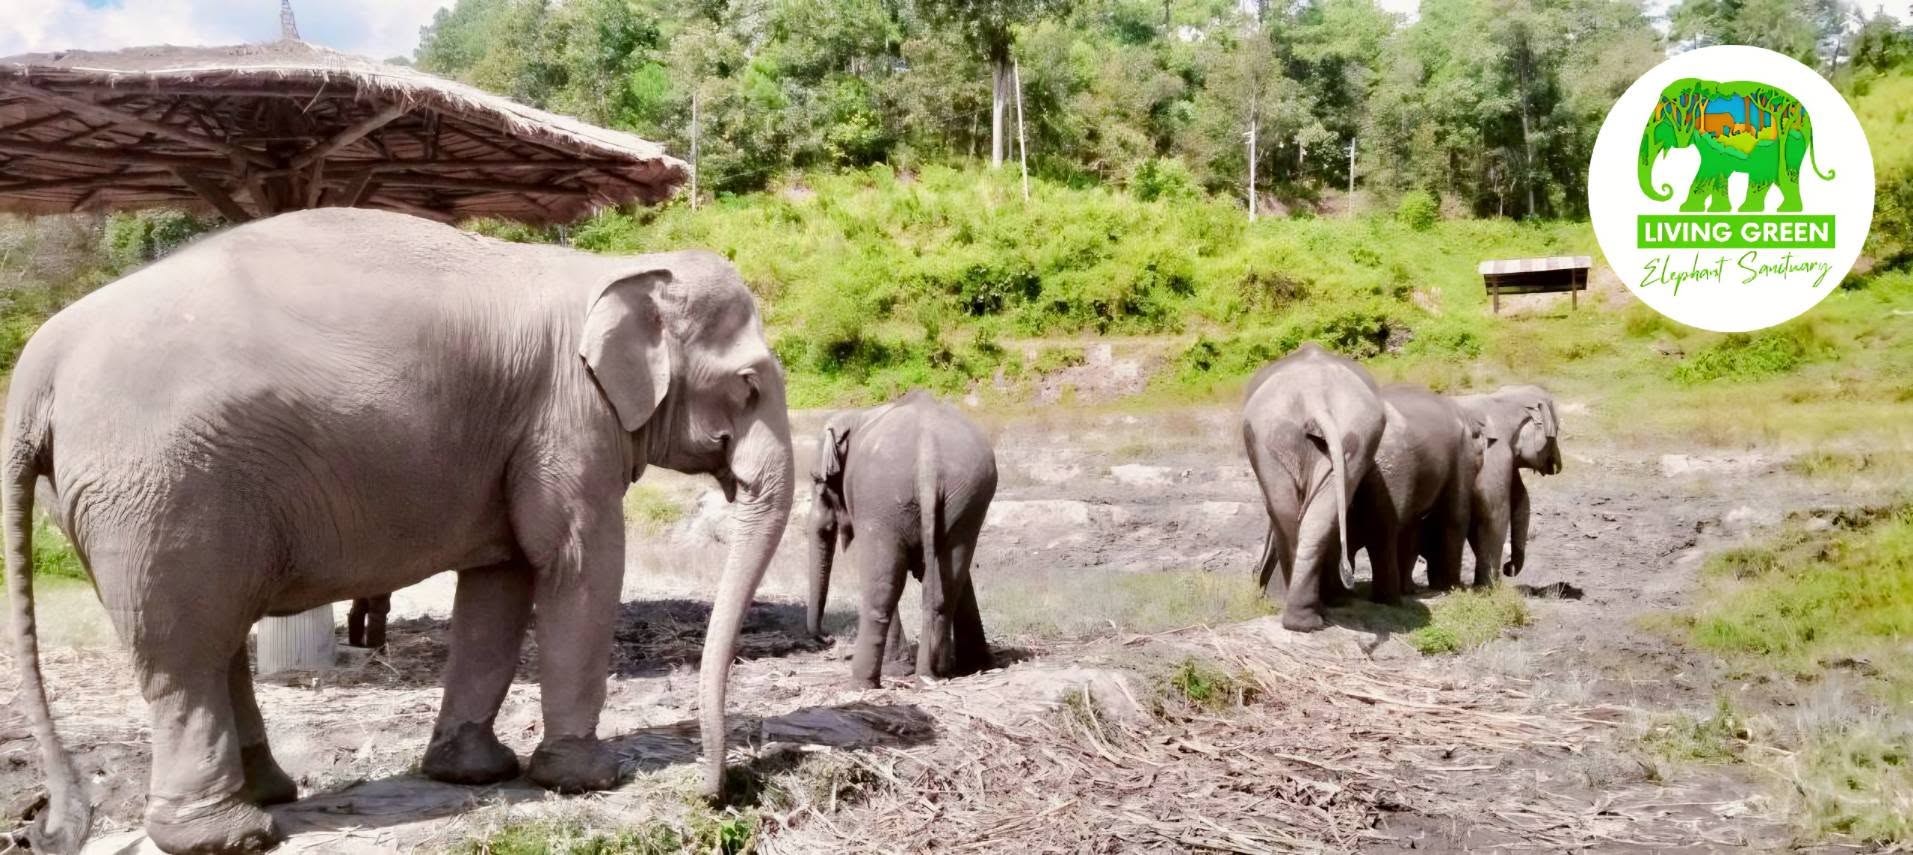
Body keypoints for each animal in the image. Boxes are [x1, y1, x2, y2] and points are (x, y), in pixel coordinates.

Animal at [1, 208, 794, 855]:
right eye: (750, 384)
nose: (718, 789)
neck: (620, 270)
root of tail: (39, 363)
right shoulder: (569, 418)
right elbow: (577, 560)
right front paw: (590, 778)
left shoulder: (518, 439)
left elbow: (501, 579)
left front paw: (472, 773)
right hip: (159, 490)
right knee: (184, 649)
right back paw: (229, 835)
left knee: (214, 636)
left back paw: (269, 795)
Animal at [806, 391, 995, 688]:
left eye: (817, 480)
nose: (829, 638)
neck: (858, 415)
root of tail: (929, 455)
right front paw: (976, 664)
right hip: (968, 498)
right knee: (947, 579)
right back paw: (935, 672)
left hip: (882, 498)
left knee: (883, 584)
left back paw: (864, 681)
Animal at [1243, 343, 1387, 632]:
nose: (1255, 579)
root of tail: (1316, 399)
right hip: (1350, 438)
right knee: (1310, 518)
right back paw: (1308, 618)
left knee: (1289, 517)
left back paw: (1301, 612)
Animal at [1451, 385, 1562, 585]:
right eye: (1558, 429)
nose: (1508, 568)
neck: (1499, 399)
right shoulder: (1494, 454)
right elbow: (1494, 513)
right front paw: (1488, 587)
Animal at [1640, 78, 1835, 214]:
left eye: (1661, 118)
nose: (1666, 189)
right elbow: (1719, 173)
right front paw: (1717, 211)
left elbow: (1709, 170)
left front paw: (1688, 210)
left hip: (1784, 147)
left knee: (1769, 176)